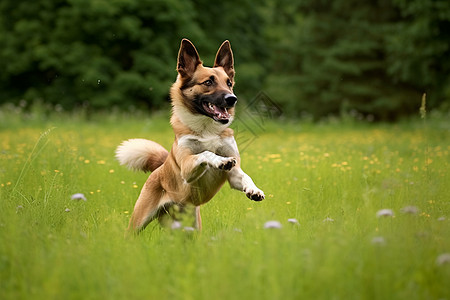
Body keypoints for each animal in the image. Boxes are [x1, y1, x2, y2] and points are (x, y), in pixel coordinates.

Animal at [115, 39, 264, 232]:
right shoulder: (187, 166)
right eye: (208, 82)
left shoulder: (233, 174)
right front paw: (220, 161)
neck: (207, 130)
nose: (232, 98)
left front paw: (254, 190)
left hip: (191, 229)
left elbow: (245, 176)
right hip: (138, 222)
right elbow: (206, 153)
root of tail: (159, 168)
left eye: (229, 83)